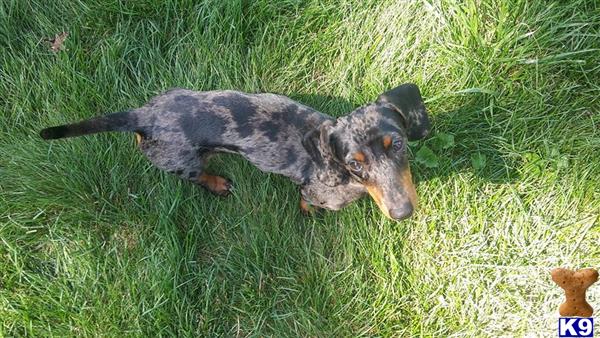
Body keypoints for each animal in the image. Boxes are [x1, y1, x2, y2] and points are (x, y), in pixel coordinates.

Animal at [39, 84, 428, 220]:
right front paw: (309, 213)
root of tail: (143, 117)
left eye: (398, 144)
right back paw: (216, 183)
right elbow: (306, 201)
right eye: (354, 164)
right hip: (183, 163)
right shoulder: (317, 191)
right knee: (196, 176)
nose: (403, 213)